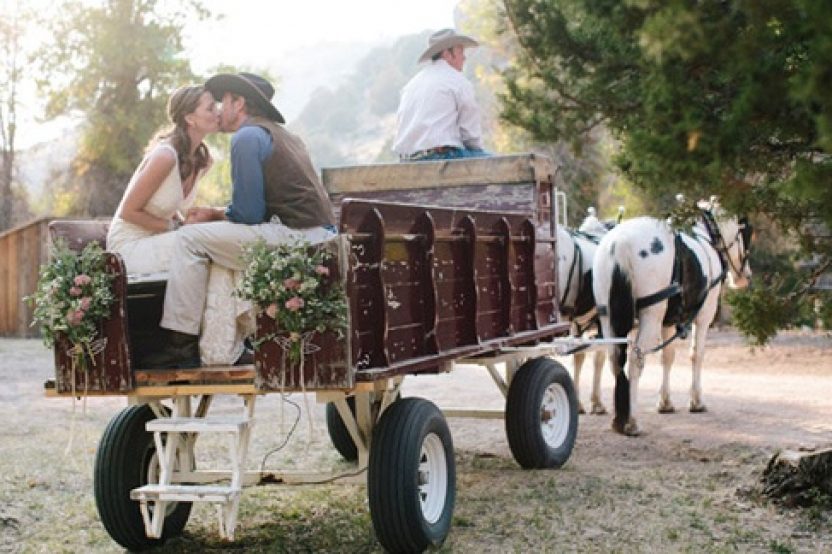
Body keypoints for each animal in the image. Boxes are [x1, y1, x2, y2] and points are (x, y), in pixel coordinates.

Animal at [592, 201, 752, 434]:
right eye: (744, 234)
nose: (745, 276)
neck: (708, 236)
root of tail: (619, 242)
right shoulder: (704, 316)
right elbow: (697, 354)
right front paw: (696, 401)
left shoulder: (667, 323)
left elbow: (667, 357)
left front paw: (665, 402)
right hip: (651, 316)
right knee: (635, 361)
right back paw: (632, 420)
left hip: (608, 317)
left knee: (615, 359)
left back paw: (619, 418)